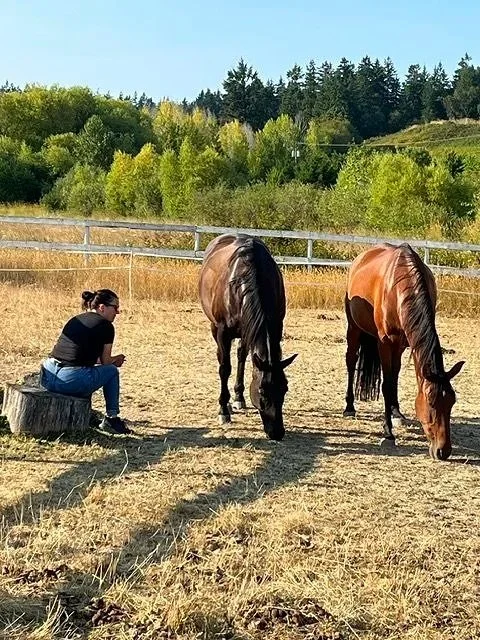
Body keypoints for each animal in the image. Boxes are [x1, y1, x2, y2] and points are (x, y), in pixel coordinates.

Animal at [199, 233, 297, 440]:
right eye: (262, 391)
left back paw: (238, 397)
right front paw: (223, 410)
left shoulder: (275, 326)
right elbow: (224, 368)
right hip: (215, 328)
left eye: (285, 388)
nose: (277, 432)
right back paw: (228, 403)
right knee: (223, 359)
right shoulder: (222, 331)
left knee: (241, 355)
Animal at [344, 242, 464, 460]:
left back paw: (395, 412)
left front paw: (395, 414)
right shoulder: (385, 343)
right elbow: (386, 385)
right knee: (351, 361)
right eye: (431, 404)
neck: (399, 288)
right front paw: (388, 434)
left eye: (452, 402)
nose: (443, 451)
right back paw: (349, 407)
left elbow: (395, 379)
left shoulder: (403, 344)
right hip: (353, 328)